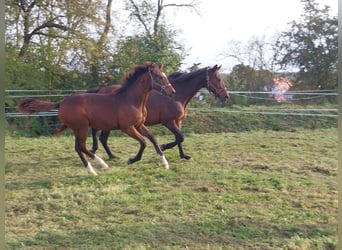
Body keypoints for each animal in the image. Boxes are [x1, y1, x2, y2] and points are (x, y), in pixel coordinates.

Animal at [17, 62, 175, 176]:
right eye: (160, 77)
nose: (172, 92)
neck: (132, 100)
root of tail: (62, 102)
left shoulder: (139, 125)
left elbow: (153, 138)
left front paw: (165, 163)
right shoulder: (127, 128)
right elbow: (143, 142)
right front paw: (132, 160)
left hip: (77, 129)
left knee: (78, 148)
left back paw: (91, 171)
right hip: (82, 127)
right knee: (82, 146)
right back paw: (102, 165)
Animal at [89, 64, 227, 160]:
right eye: (218, 78)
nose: (226, 95)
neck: (177, 96)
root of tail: (101, 90)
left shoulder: (178, 121)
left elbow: (179, 138)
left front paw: (183, 155)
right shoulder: (168, 121)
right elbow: (180, 137)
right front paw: (163, 147)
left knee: (101, 137)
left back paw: (108, 155)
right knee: (99, 135)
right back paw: (102, 153)